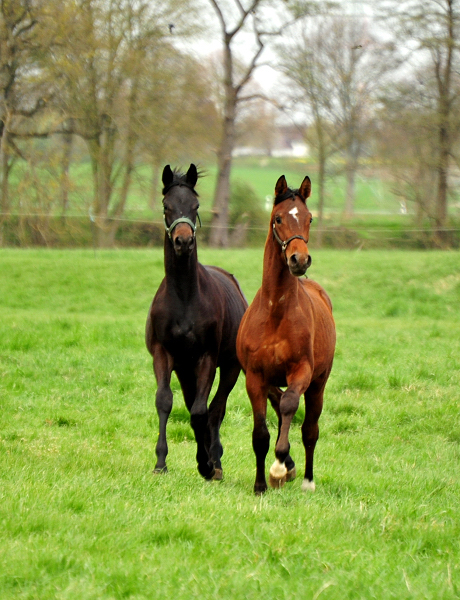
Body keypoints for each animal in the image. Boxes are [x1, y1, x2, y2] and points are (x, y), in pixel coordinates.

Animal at [146, 163, 248, 478]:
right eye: (166, 206)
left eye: (195, 205)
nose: (183, 241)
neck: (184, 297)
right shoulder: (164, 354)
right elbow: (165, 401)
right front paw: (160, 462)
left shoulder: (207, 358)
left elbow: (203, 411)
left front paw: (206, 463)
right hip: (184, 368)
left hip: (230, 367)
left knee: (216, 408)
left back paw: (214, 459)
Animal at [235, 172, 336, 492]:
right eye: (278, 218)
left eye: (309, 218)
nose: (299, 260)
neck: (276, 312)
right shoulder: (255, 377)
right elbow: (260, 433)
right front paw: (260, 485)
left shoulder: (301, 370)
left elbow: (291, 404)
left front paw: (279, 466)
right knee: (279, 406)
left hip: (318, 384)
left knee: (309, 428)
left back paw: (306, 479)